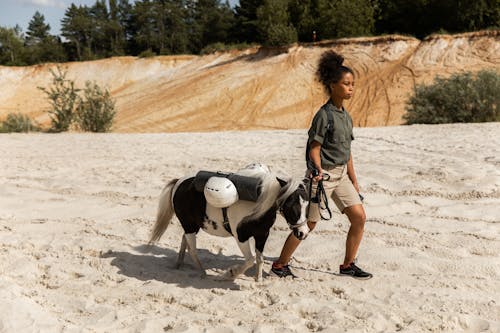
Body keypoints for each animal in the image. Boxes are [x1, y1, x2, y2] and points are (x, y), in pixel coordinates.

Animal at [150, 163, 310, 280]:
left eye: (307, 204)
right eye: (292, 206)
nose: (303, 233)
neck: (258, 205)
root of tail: (179, 182)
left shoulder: (262, 235)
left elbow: (260, 259)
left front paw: (258, 280)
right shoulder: (241, 237)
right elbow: (250, 260)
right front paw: (231, 273)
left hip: (193, 226)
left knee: (185, 241)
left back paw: (179, 264)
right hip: (189, 225)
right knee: (192, 249)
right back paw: (202, 273)